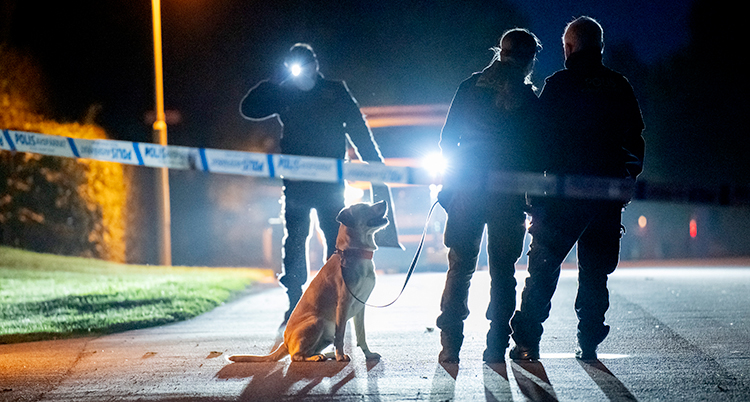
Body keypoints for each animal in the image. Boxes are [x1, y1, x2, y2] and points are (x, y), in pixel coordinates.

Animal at [231, 203, 390, 362]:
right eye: (363, 208)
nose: (384, 202)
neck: (354, 253)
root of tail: (285, 343)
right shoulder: (343, 303)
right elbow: (340, 336)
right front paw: (340, 356)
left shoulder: (360, 305)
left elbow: (361, 334)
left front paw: (368, 354)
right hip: (317, 321)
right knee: (296, 356)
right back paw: (317, 357)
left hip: (326, 332)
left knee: (310, 350)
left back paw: (325, 354)